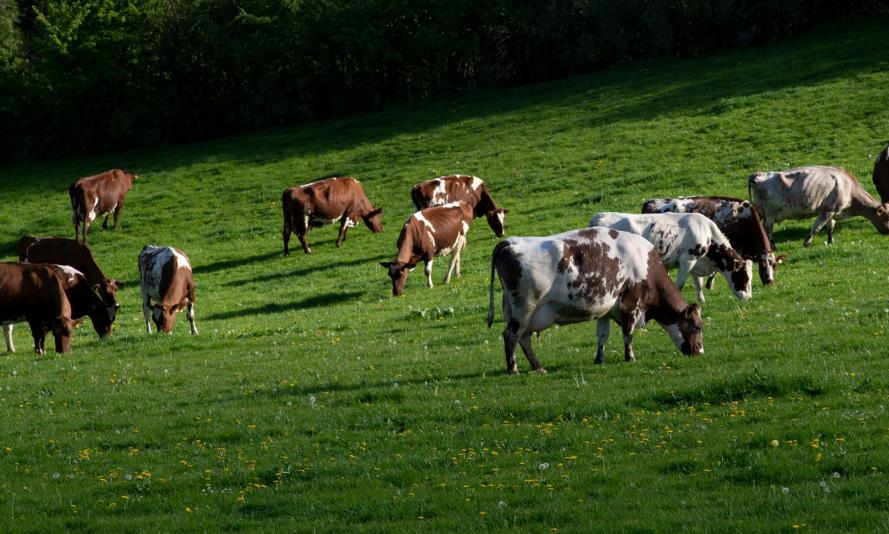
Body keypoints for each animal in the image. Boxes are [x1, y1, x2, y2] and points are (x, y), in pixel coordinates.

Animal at [486, 226, 700, 372]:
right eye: (697, 327)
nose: (700, 352)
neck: (646, 265)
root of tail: (509, 242)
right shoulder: (630, 305)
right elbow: (628, 334)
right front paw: (630, 357)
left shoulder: (606, 308)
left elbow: (602, 335)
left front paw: (600, 359)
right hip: (525, 307)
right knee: (511, 335)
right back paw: (513, 369)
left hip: (517, 310)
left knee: (524, 338)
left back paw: (538, 367)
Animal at [588, 214, 752, 306]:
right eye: (744, 277)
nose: (749, 298)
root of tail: (599, 216)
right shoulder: (687, 260)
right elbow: (679, 284)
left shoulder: (696, 261)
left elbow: (698, 283)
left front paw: (702, 300)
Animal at [748, 165, 888, 247]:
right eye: (887, 217)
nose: (887, 232)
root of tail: (759, 174)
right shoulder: (829, 210)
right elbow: (817, 227)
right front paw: (807, 242)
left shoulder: (831, 210)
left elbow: (831, 226)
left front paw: (830, 241)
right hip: (769, 215)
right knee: (768, 230)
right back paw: (773, 247)